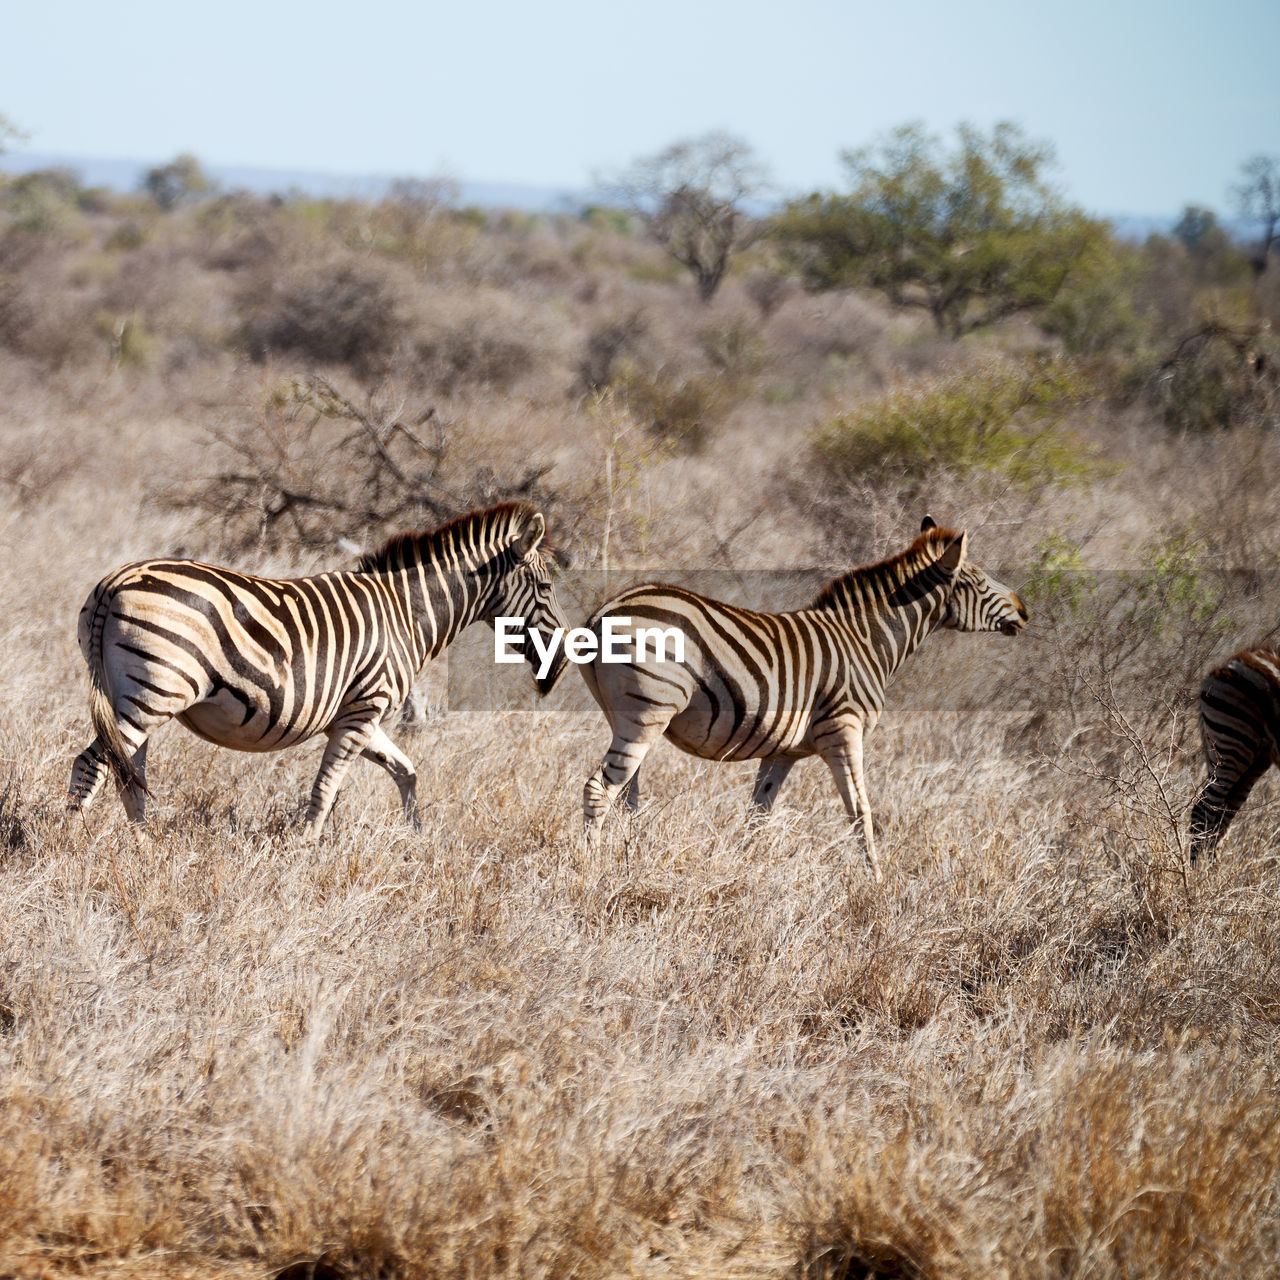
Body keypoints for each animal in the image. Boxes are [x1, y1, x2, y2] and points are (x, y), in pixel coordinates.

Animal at [68, 499, 565, 839]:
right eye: (546, 588)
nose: (560, 663)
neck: (405, 614)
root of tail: (113, 583)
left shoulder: (357, 715)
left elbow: (406, 771)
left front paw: (416, 839)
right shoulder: (363, 711)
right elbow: (325, 791)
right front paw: (305, 852)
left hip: (132, 695)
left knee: (127, 773)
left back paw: (143, 845)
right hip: (152, 693)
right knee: (93, 763)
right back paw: (71, 846)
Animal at [560, 514, 1029, 875]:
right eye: (979, 582)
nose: (1025, 611)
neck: (866, 640)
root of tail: (606, 609)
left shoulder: (782, 750)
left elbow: (758, 814)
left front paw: (743, 871)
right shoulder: (843, 729)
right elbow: (860, 811)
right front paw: (877, 882)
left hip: (626, 717)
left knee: (626, 794)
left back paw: (631, 858)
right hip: (647, 713)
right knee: (600, 789)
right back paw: (589, 868)